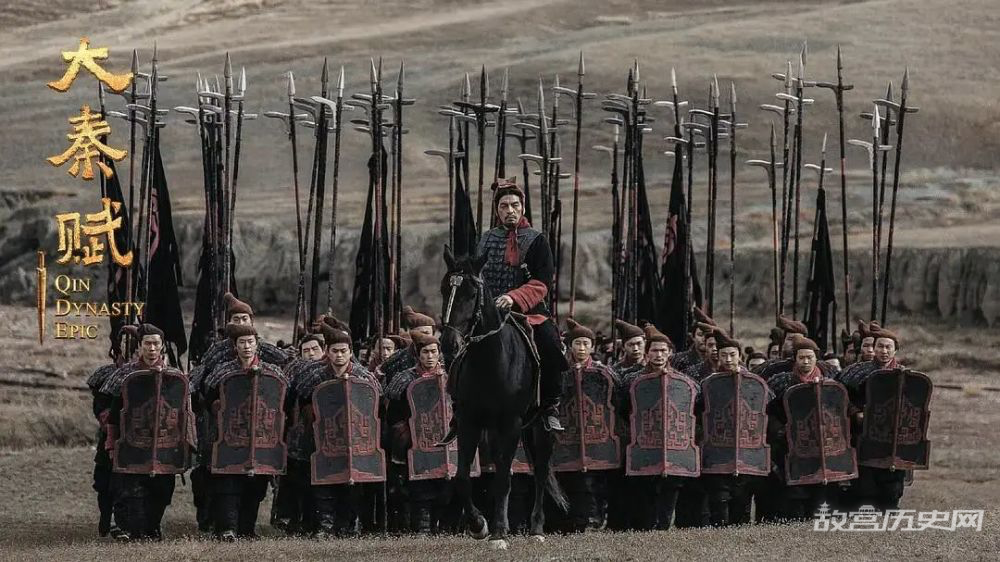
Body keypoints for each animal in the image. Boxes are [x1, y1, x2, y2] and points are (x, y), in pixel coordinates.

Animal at [439, 247, 568, 549]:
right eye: (444, 290)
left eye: (471, 293)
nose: (448, 344)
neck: (491, 360)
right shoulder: (469, 422)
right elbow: (463, 477)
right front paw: (479, 525)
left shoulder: (510, 423)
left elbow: (502, 481)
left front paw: (498, 533)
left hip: (538, 429)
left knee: (541, 472)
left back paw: (536, 529)